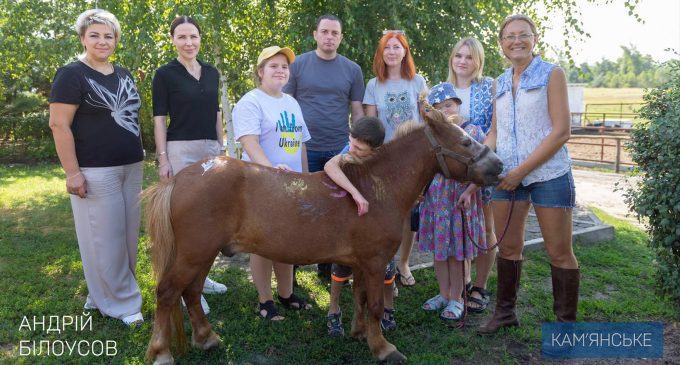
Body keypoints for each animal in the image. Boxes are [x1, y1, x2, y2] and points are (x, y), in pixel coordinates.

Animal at [145, 104, 504, 362]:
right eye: (465, 141)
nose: (499, 166)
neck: (374, 189)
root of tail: (182, 178)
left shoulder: (362, 263)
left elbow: (360, 297)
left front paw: (360, 334)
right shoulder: (375, 261)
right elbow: (375, 305)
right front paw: (383, 348)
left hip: (202, 254)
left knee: (190, 292)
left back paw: (207, 339)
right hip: (194, 254)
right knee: (168, 293)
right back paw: (162, 352)